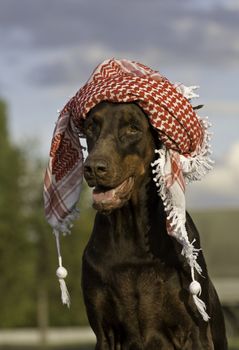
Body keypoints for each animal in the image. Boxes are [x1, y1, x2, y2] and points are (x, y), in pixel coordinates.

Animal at [81, 101, 227, 350]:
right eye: (91, 127)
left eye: (133, 128)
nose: (93, 167)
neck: (131, 234)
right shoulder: (104, 333)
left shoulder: (195, 330)